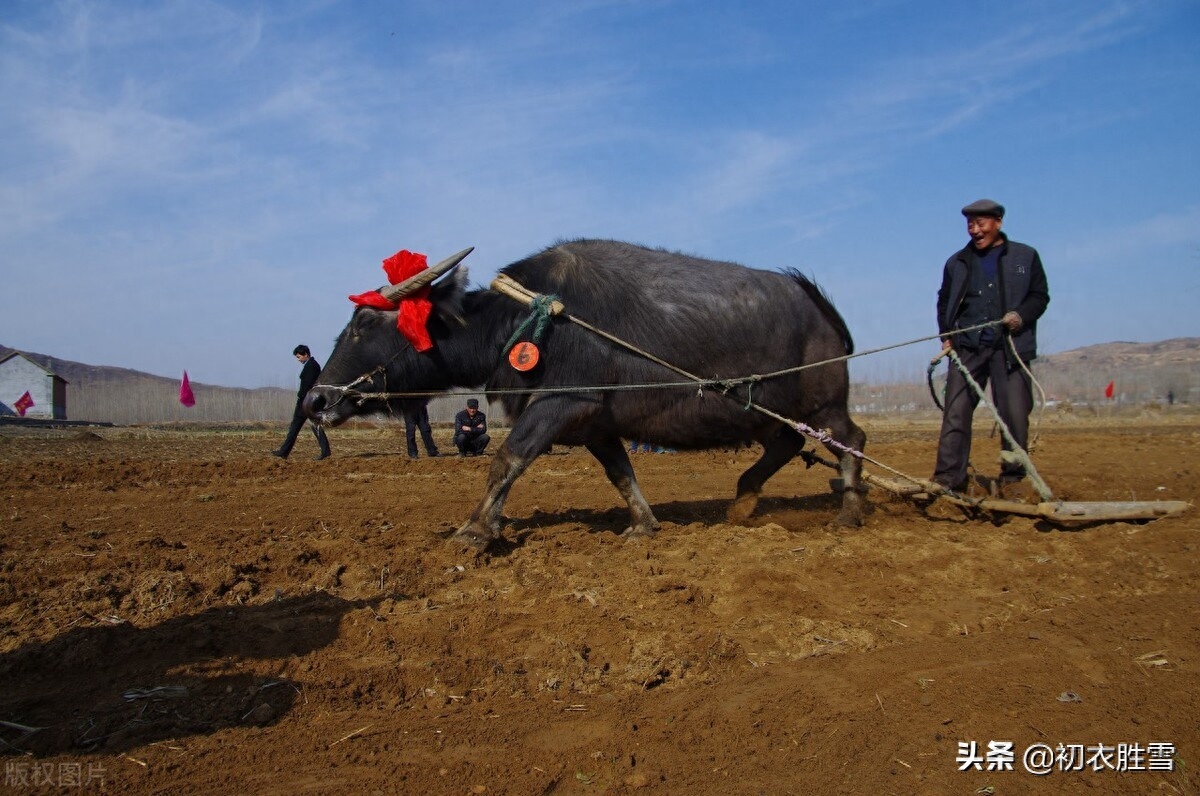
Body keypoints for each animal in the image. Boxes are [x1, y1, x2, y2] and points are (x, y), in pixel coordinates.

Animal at [304, 240, 868, 552]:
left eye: (363, 323)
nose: (315, 401)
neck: (528, 315)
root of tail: (819, 305)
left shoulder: (562, 403)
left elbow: (507, 458)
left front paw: (475, 529)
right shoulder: (596, 424)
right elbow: (621, 474)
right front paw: (644, 525)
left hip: (825, 403)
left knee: (851, 440)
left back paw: (849, 511)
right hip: (778, 413)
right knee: (790, 444)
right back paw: (745, 499)